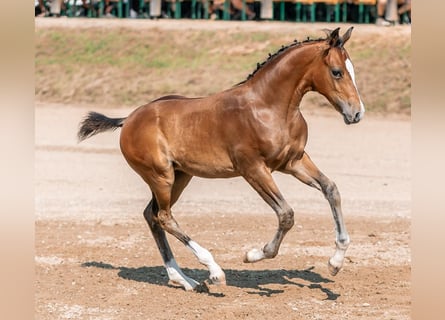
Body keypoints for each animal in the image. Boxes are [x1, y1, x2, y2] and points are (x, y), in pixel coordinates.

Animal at [78, 27, 364, 292]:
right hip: (160, 176)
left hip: (180, 176)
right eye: (337, 72)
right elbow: (286, 215)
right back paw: (213, 272)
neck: (269, 108)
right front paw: (254, 254)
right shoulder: (253, 169)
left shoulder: (293, 162)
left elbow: (331, 189)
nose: (357, 113)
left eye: (351, 69)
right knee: (164, 217)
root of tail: (128, 119)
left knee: (152, 215)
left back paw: (184, 280)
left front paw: (335, 262)